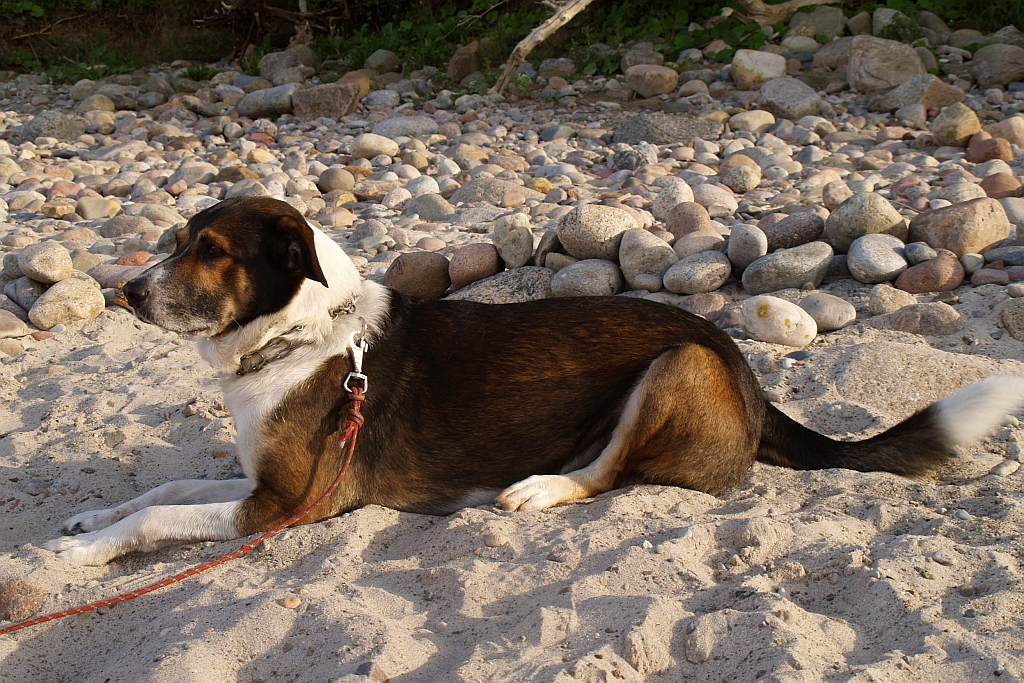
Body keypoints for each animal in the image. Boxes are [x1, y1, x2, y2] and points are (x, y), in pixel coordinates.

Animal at [44, 196, 1024, 565]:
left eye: (210, 251)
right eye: (176, 239)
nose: (127, 292)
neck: (300, 333)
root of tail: (749, 375)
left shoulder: (287, 503)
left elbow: (160, 516)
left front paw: (80, 555)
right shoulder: (257, 482)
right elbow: (163, 488)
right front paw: (90, 520)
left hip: (676, 363)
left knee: (605, 475)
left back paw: (537, 488)